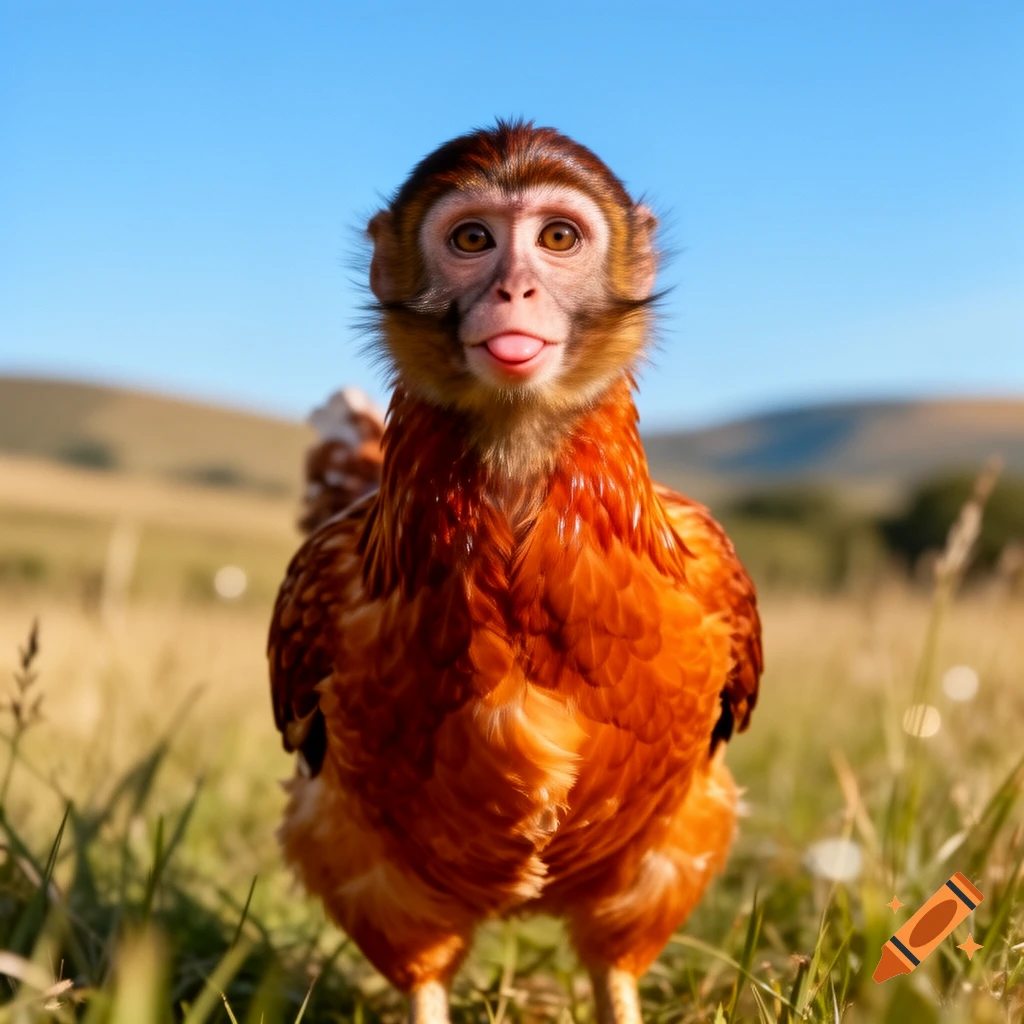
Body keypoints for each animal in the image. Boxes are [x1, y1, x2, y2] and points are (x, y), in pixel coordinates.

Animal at [269, 120, 762, 1024]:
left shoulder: (667, 849)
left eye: (558, 238)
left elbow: (615, 977)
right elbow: (425, 982)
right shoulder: (369, 860)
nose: (513, 293)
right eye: (472, 240)